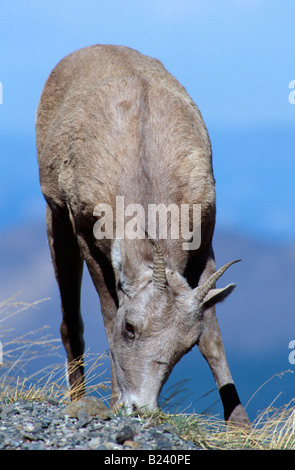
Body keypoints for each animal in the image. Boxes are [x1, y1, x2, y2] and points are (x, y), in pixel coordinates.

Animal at [35, 45, 251, 426]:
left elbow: (213, 338)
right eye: (131, 328)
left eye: (184, 347)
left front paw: (240, 427)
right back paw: (78, 400)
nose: (140, 408)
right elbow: (107, 316)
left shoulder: (205, 245)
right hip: (57, 222)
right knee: (70, 322)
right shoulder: (87, 238)